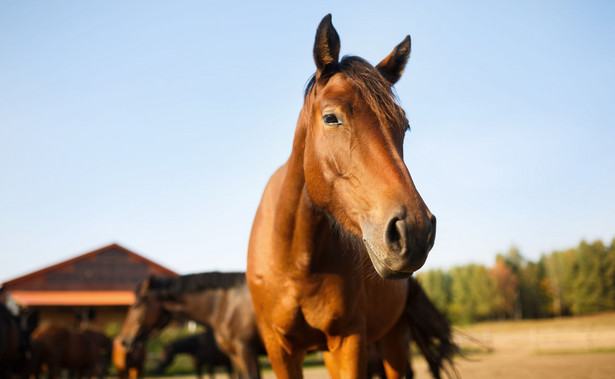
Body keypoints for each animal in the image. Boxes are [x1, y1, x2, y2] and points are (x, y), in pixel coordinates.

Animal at [248, 14, 436, 379]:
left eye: (404, 126)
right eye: (331, 118)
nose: (415, 231)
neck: (296, 261)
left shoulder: (348, 341)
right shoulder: (279, 349)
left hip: (393, 339)